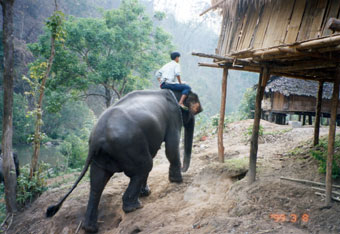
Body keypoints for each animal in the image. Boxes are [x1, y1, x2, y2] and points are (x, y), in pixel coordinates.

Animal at [46, 89, 203, 232]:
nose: (184, 169)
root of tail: (96, 139)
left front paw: (146, 192)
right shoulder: (172, 117)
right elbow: (171, 146)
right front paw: (177, 181)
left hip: (103, 156)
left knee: (97, 183)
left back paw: (90, 228)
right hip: (128, 145)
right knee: (145, 166)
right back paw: (134, 207)